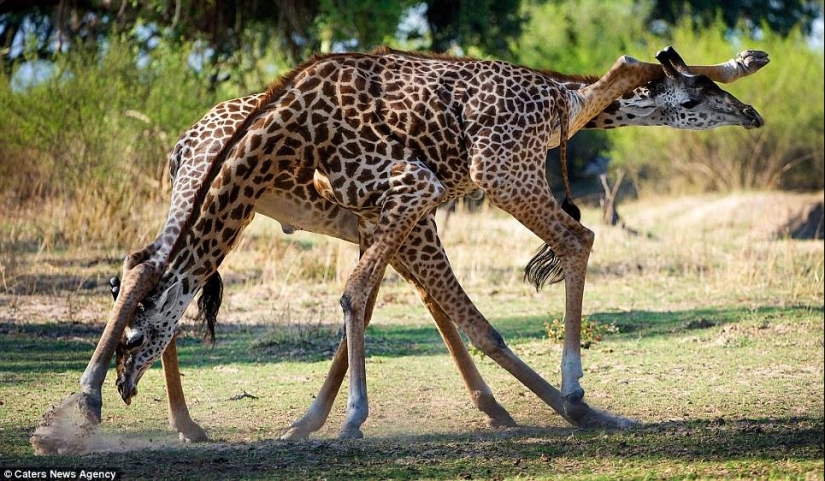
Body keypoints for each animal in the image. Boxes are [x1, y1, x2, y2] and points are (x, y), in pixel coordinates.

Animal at [33, 46, 766, 451]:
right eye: (698, 100)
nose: (750, 113)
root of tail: (185, 140)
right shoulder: (415, 199)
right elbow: (443, 310)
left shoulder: (398, 210)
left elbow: (408, 303)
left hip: (227, 203)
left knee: (147, 264)